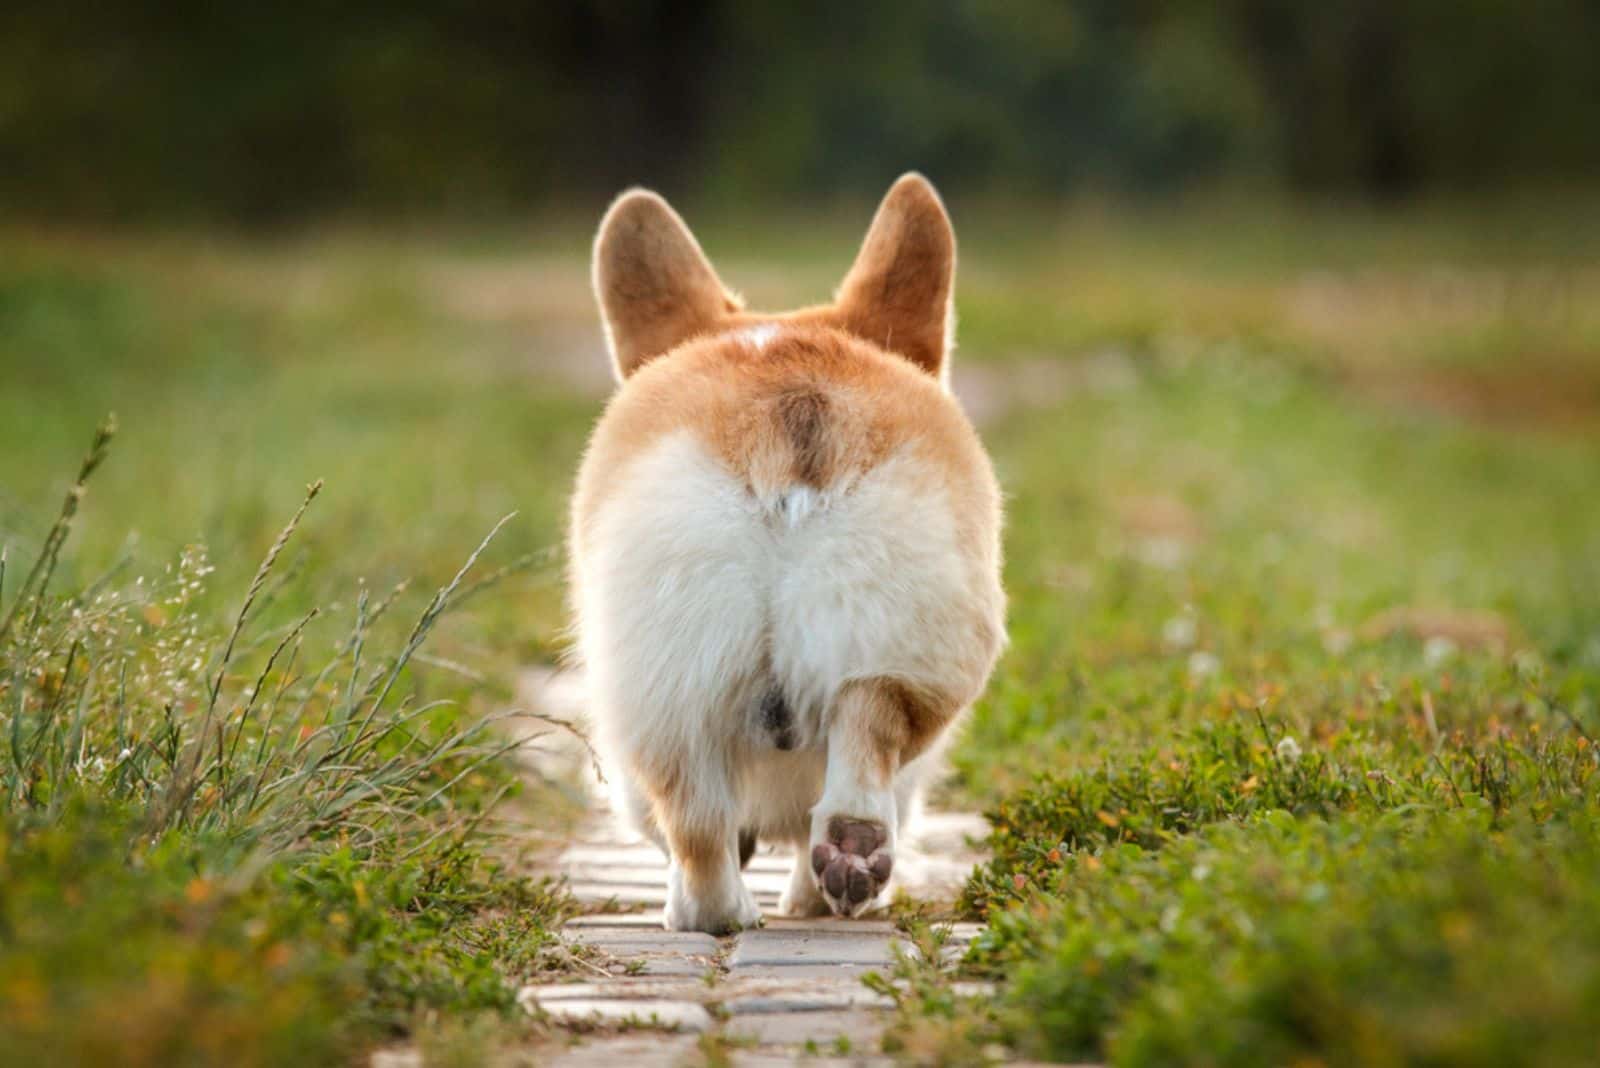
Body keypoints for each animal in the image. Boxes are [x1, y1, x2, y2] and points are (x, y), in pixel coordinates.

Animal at [569, 175, 1004, 933]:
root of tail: (789, 409)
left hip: (660, 688)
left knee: (699, 827)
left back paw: (712, 914)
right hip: (888, 631)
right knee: (866, 733)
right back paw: (848, 856)